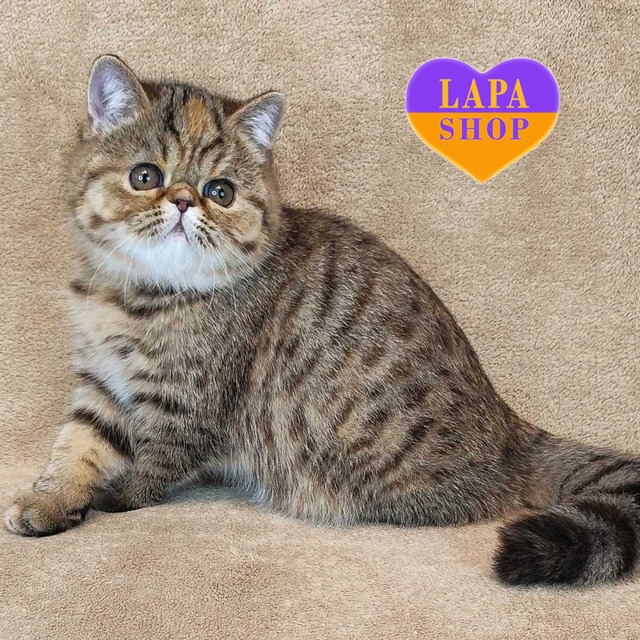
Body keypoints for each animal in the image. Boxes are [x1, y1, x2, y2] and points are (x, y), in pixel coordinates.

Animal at [4, 55, 639, 588]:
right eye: (145, 177)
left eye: (220, 191)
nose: (184, 200)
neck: (136, 297)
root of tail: (511, 428)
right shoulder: (99, 384)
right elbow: (76, 446)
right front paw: (51, 499)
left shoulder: (185, 402)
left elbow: (153, 466)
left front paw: (113, 496)